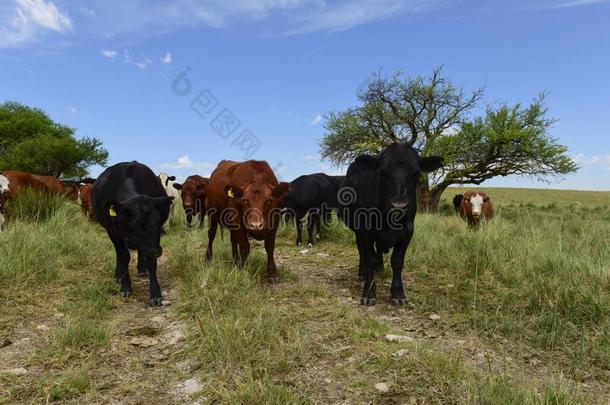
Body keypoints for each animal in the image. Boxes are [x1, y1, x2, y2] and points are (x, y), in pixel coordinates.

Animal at [92, 162, 173, 306]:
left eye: (158, 223)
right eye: (136, 224)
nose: (157, 251)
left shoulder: (152, 242)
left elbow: (150, 261)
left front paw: (155, 294)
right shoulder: (114, 232)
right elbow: (124, 256)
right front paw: (125, 287)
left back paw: (141, 269)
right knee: (119, 254)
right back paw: (118, 276)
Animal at [338, 144, 442, 304]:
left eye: (417, 173)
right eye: (382, 172)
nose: (398, 206)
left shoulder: (407, 231)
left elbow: (397, 261)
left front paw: (398, 293)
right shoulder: (364, 231)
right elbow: (370, 260)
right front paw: (369, 293)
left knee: (379, 249)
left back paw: (380, 268)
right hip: (357, 231)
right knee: (362, 251)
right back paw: (362, 273)